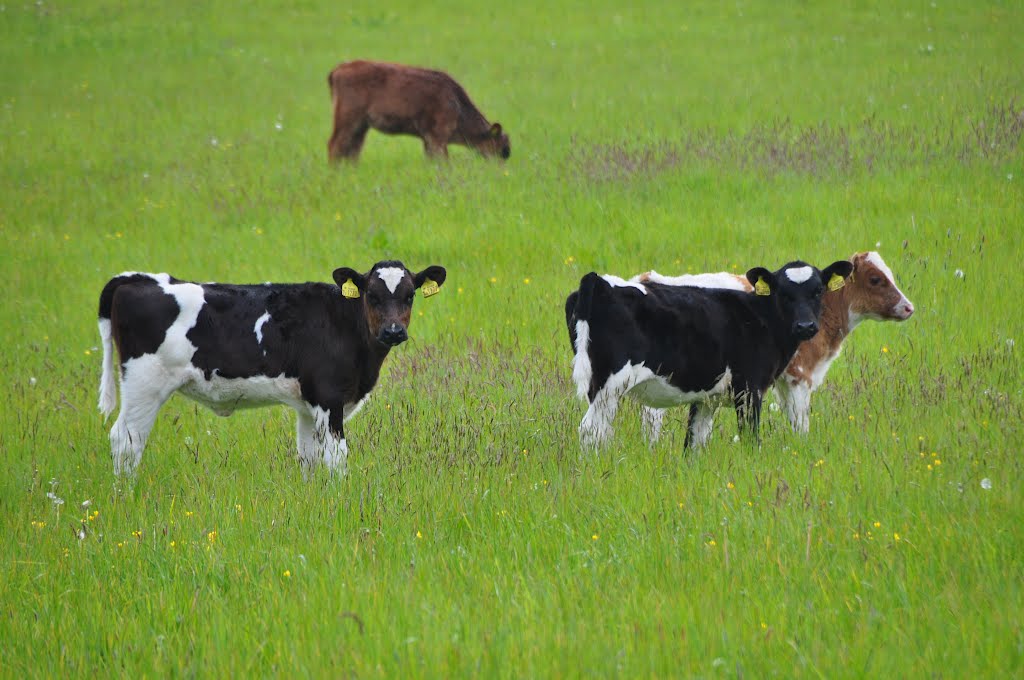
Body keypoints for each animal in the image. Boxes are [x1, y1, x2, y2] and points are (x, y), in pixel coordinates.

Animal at [325, 59, 509, 162]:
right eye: (501, 149)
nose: (499, 168)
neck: (457, 104)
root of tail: (337, 70)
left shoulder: (428, 139)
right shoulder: (437, 138)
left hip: (361, 126)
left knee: (352, 149)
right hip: (347, 120)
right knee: (335, 146)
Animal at [565, 260, 851, 450]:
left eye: (818, 291)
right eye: (784, 293)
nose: (806, 326)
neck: (759, 317)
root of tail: (599, 280)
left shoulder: (706, 399)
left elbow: (694, 443)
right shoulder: (749, 389)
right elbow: (750, 438)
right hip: (609, 384)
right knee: (591, 430)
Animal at [634, 251, 917, 444]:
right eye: (875, 279)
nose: (908, 307)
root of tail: (647, 277)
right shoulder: (799, 376)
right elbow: (801, 424)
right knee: (651, 417)